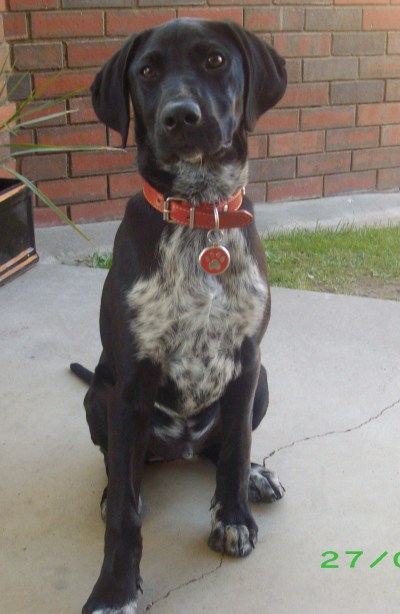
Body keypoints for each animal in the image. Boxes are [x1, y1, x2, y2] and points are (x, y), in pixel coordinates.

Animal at [69, 18, 288, 614]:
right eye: (147, 71)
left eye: (215, 60)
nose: (180, 116)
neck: (200, 214)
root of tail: (181, 447)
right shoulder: (128, 386)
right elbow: (124, 514)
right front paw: (115, 589)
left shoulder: (246, 361)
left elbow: (236, 451)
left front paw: (233, 516)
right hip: (98, 398)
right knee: (121, 466)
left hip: (262, 381)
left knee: (222, 448)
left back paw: (255, 478)